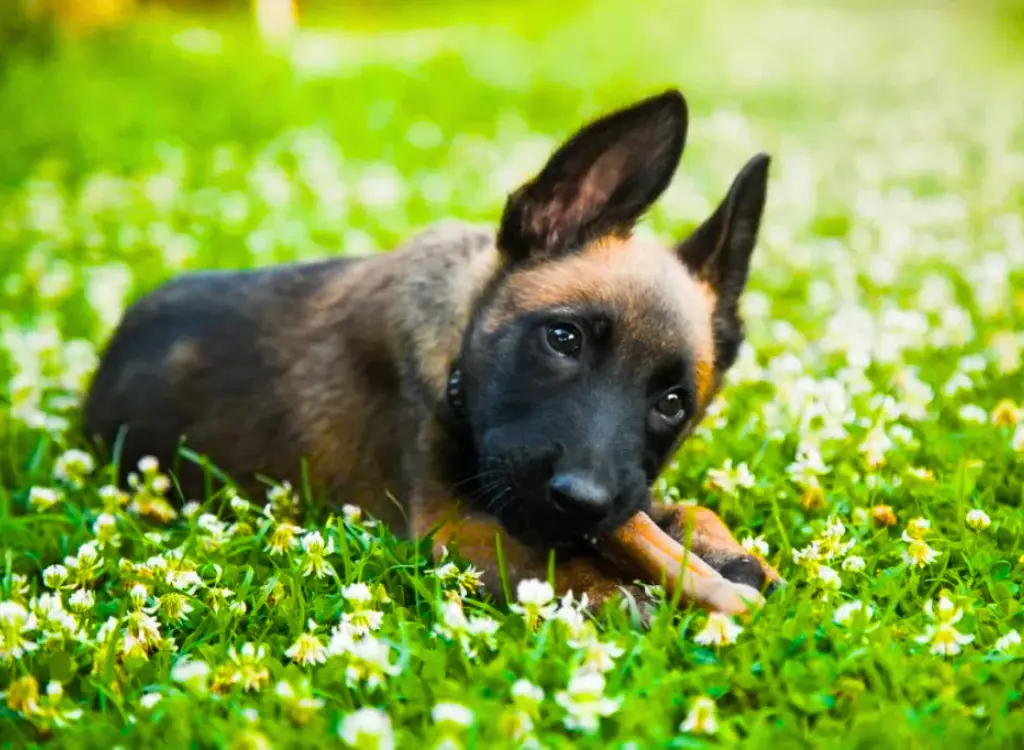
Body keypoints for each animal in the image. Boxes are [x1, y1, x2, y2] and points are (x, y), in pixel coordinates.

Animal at [83, 90, 774, 610]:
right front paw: (616, 590)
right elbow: (537, 560)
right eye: (563, 339)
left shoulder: (614, 496)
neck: (457, 365)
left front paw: (729, 555)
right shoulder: (450, 527)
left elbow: (686, 510)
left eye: (673, 403)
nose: (581, 499)